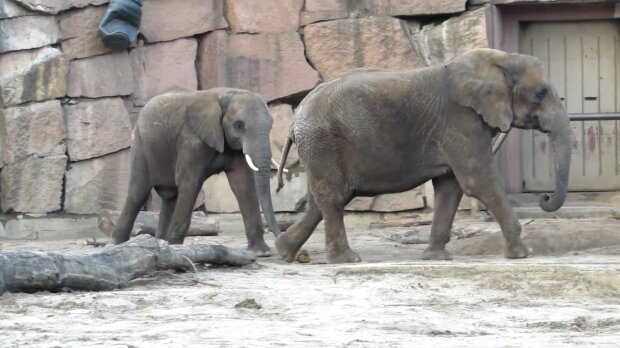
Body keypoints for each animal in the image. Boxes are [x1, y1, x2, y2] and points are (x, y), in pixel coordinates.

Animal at [113, 87, 280, 256]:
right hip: (140, 144)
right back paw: (118, 244)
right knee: (138, 193)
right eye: (238, 125)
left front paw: (261, 252)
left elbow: (243, 185)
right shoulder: (190, 140)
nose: (280, 237)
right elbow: (190, 183)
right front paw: (176, 249)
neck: (226, 94)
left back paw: (161, 242)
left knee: (170, 197)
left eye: (271, 125)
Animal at [276, 47, 572, 262]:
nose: (544, 198)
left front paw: (436, 258)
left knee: (323, 201)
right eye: (541, 93)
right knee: (334, 198)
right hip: (323, 142)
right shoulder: (460, 122)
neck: (499, 60)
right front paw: (522, 255)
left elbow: (450, 188)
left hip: (320, 148)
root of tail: (296, 116)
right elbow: (479, 182)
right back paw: (347, 260)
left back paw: (285, 251)